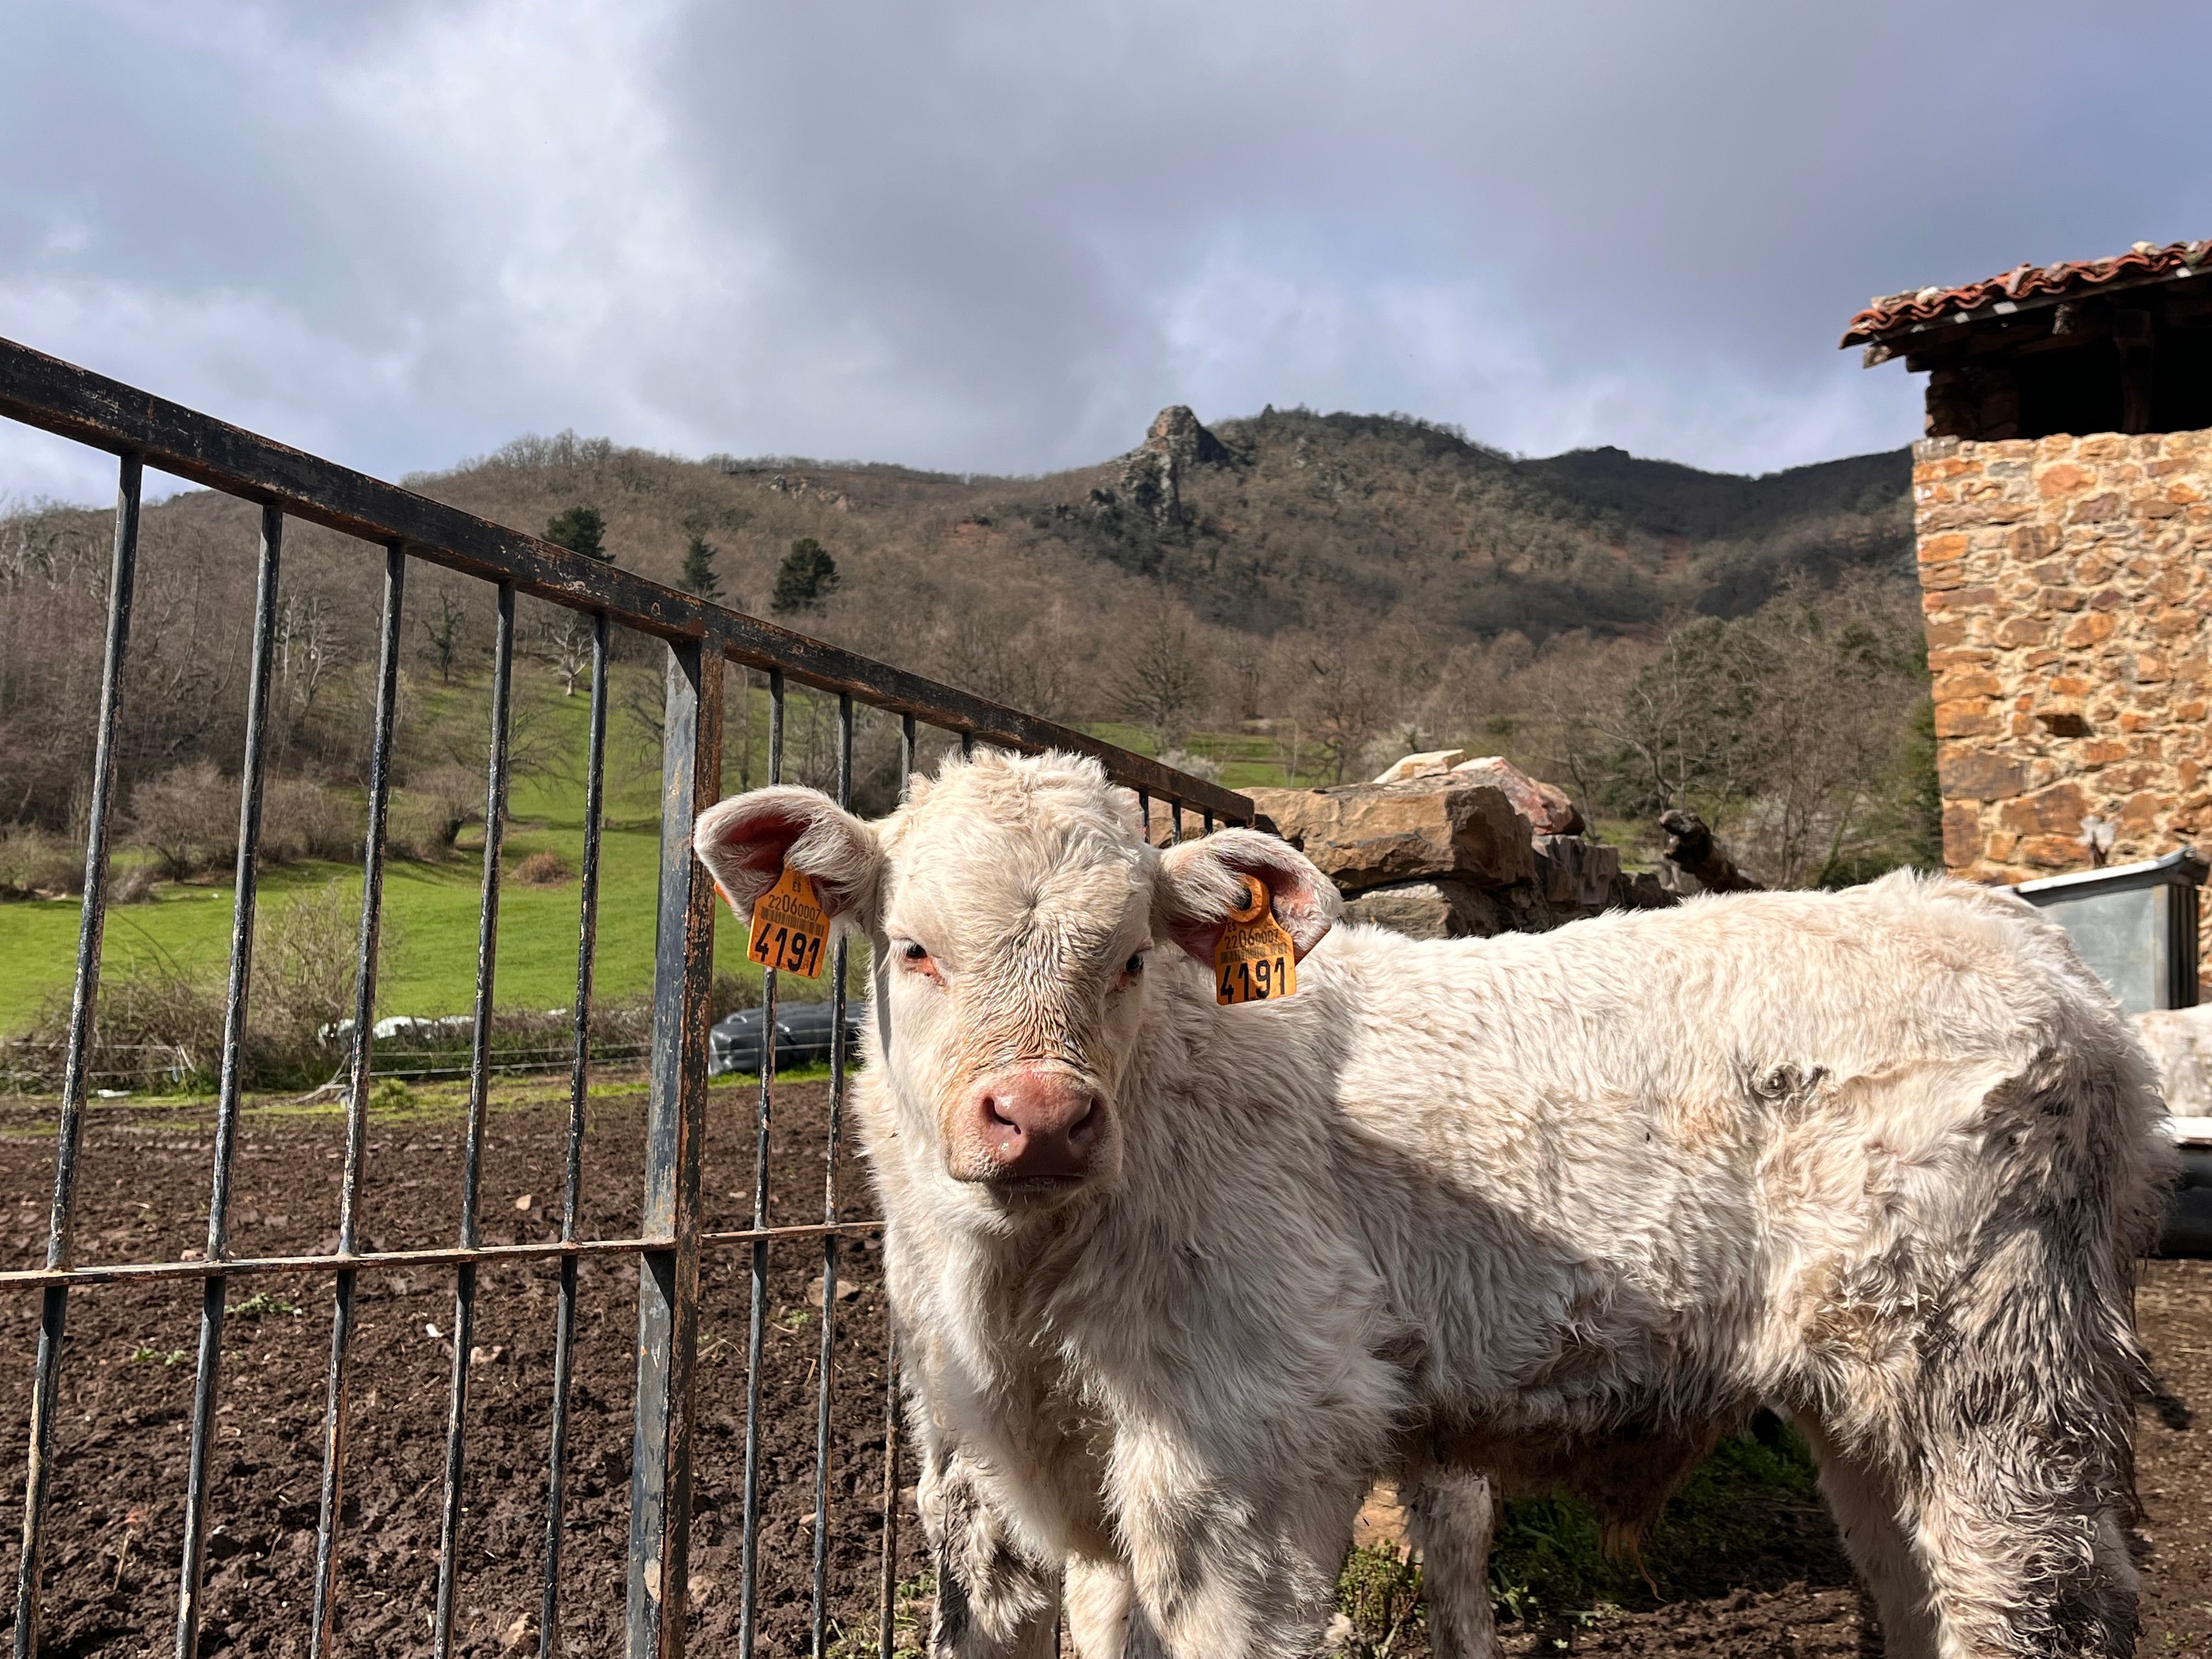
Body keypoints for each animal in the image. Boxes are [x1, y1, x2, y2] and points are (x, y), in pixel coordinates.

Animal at [693, 749, 2173, 1659]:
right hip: (1880, 1400)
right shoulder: (1037, 1482)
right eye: (911, 950)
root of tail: (2034, 948)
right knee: (1921, 1583)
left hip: (1989, 1366)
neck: (1025, 1298)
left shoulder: (1254, 1450)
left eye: (1128, 959)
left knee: (2038, 1598)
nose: (1044, 1116)